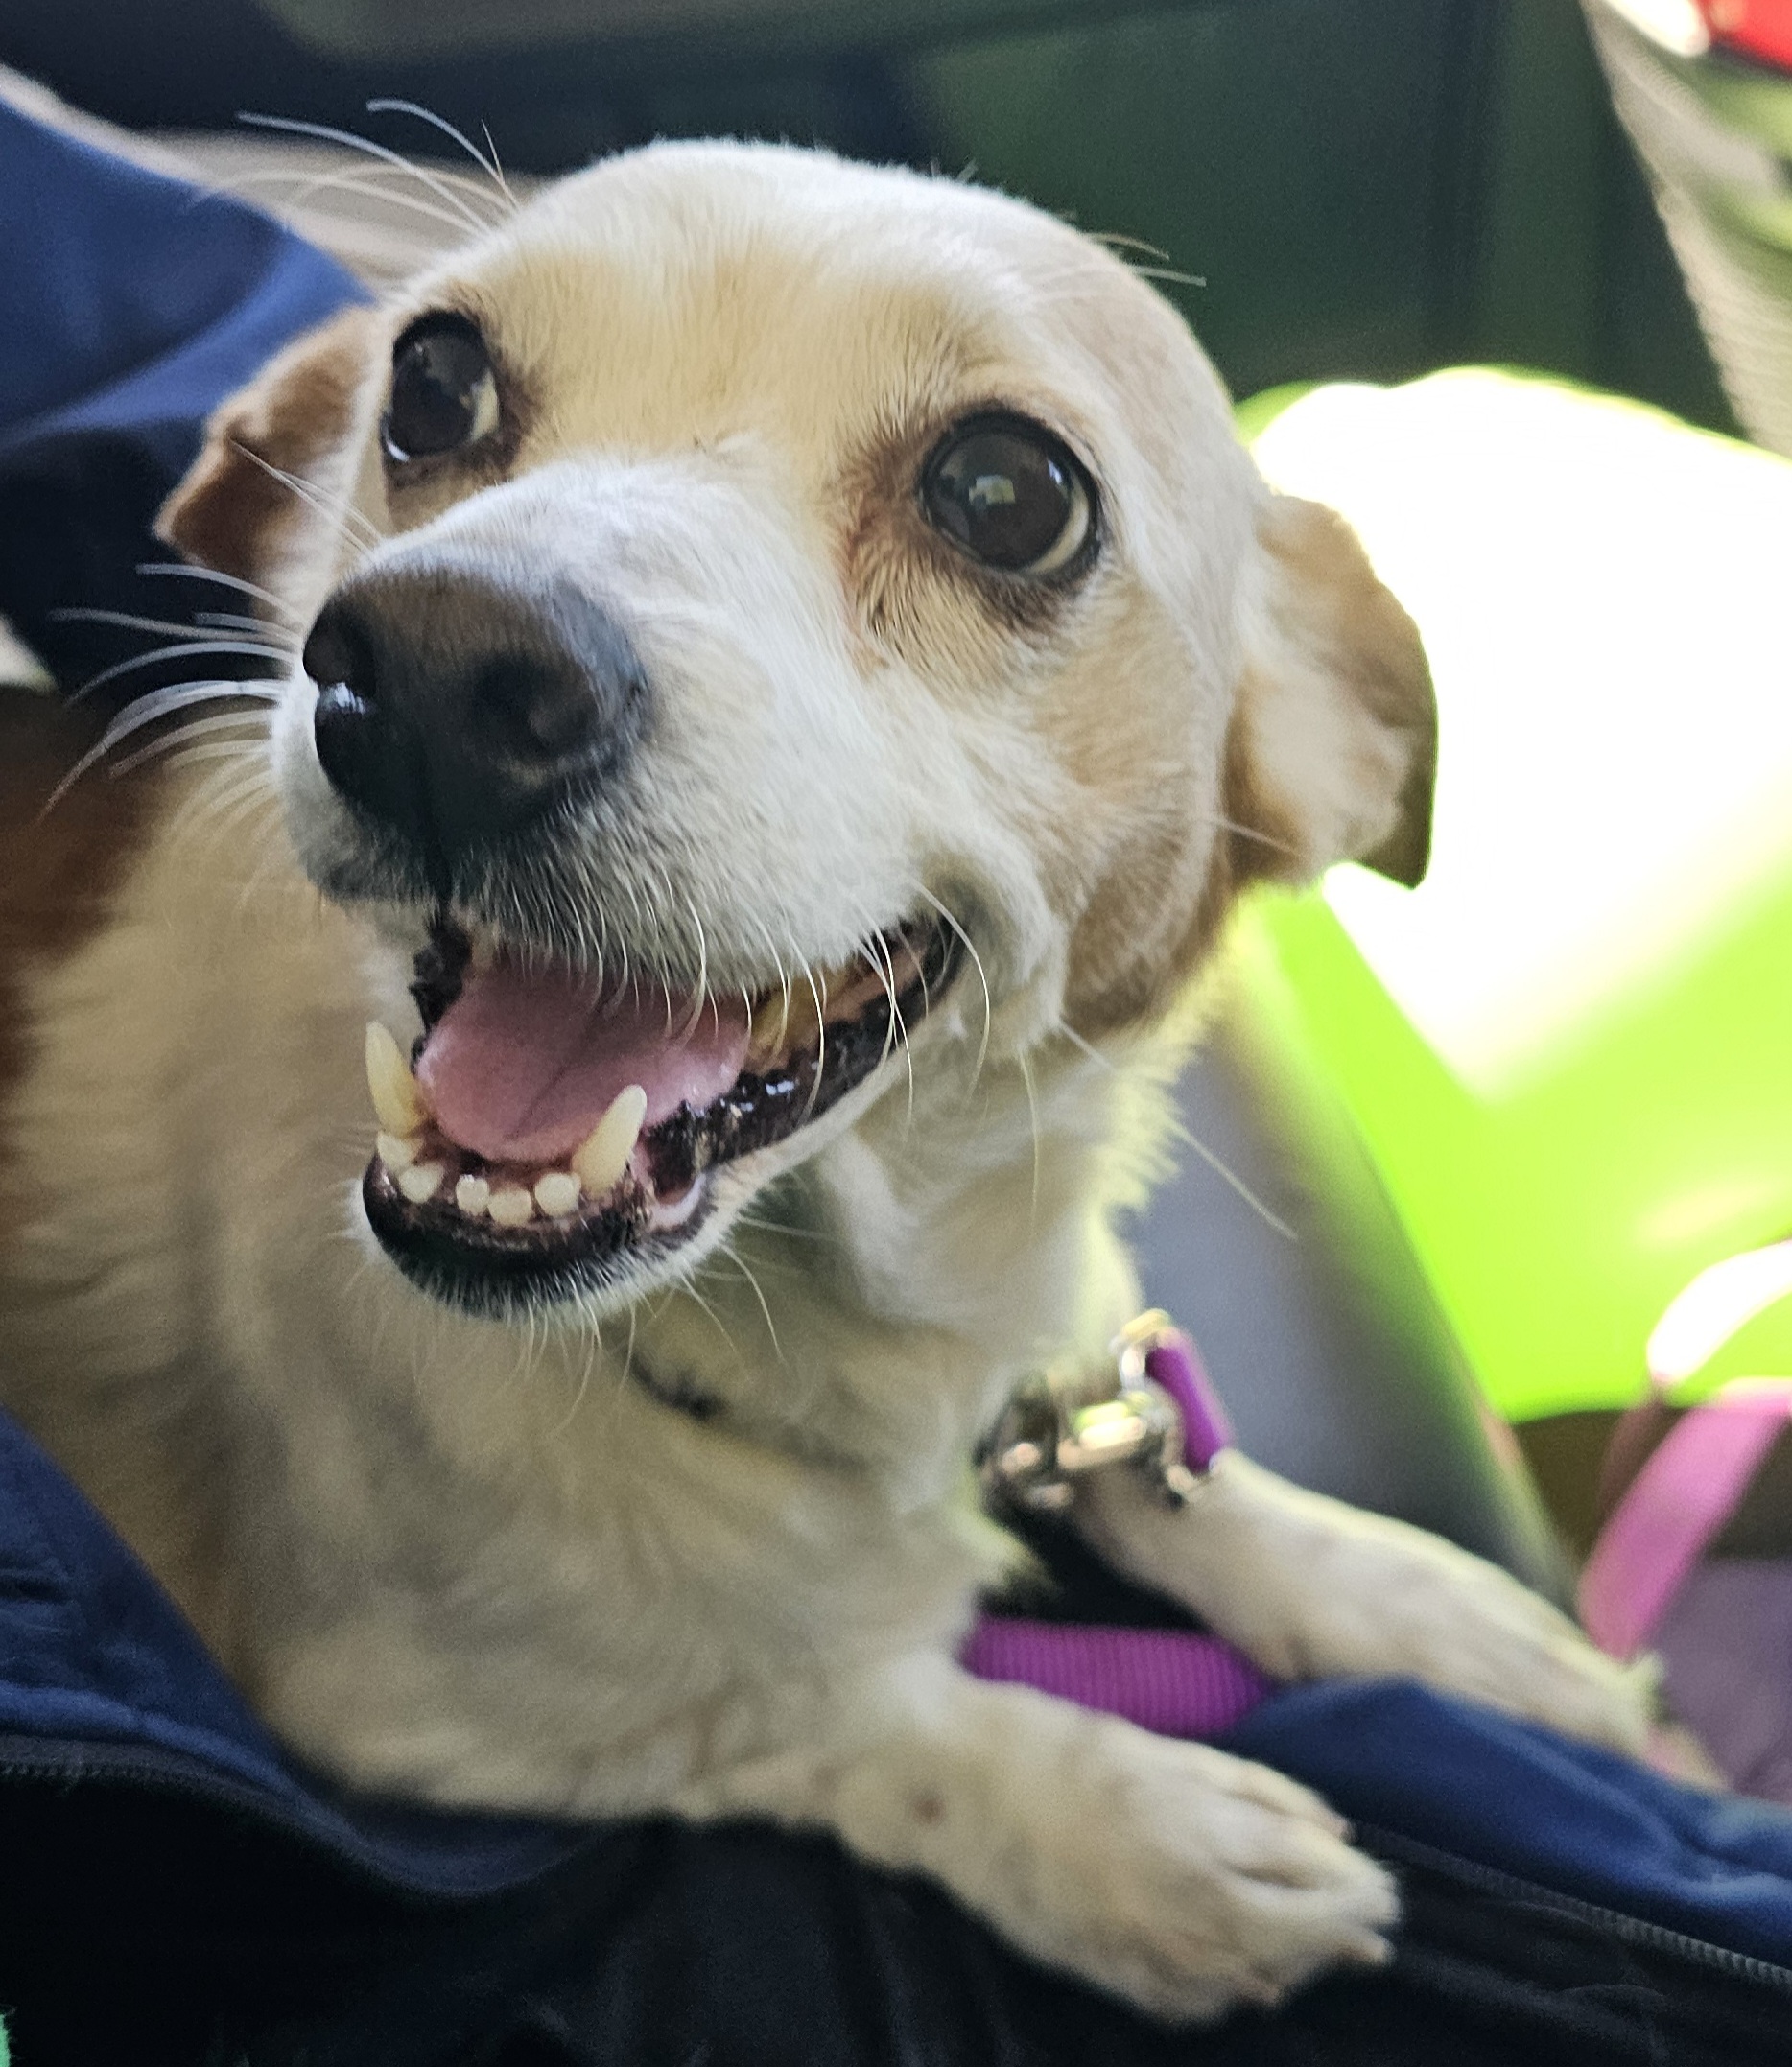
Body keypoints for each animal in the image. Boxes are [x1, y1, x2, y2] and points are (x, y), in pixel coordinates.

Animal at [0, 140, 1654, 2023]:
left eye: (1008, 494)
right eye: (431, 385)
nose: (420, 674)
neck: (825, 1337)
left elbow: (1166, 1452)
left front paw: (1418, 1606)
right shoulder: (421, 1711)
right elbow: (846, 1716)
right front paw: (1140, 1830)